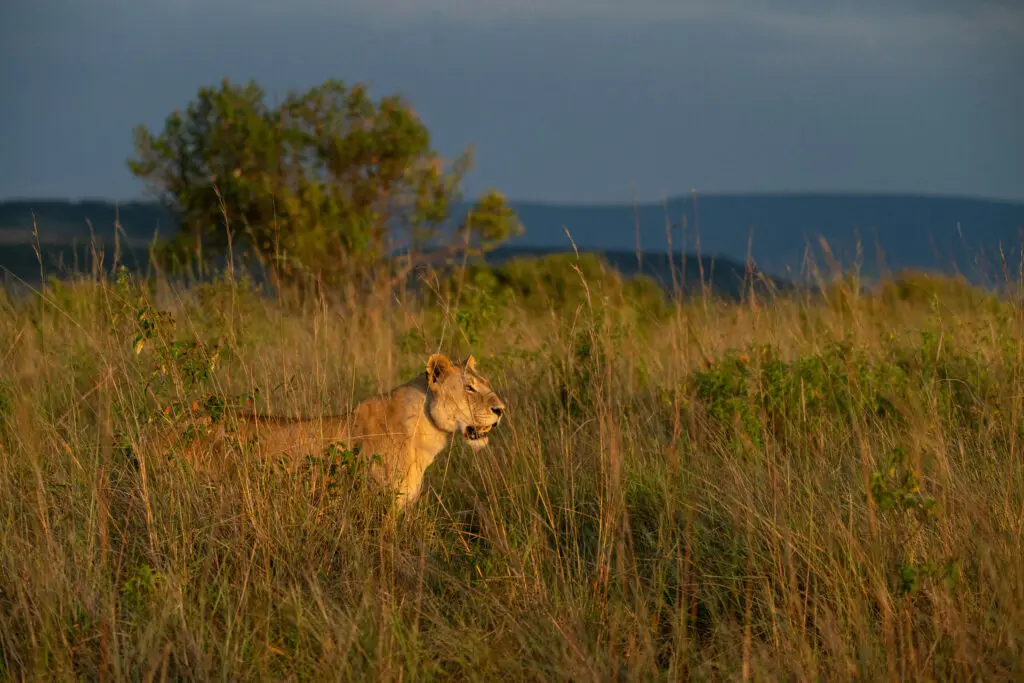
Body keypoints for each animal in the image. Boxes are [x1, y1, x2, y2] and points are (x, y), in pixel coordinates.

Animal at [141, 353, 506, 508]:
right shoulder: (380, 507)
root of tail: (157, 427)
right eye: (470, 388)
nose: (501, 409)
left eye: (486, 383)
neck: (423, 433)